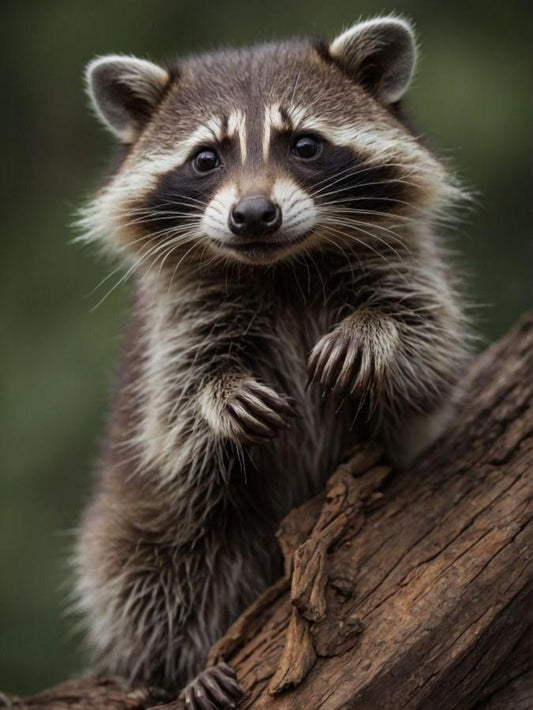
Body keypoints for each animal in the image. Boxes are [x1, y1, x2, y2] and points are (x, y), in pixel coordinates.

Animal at [76, 16, 470, 710]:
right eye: (206, 158)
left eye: (305, 145)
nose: (254, 215)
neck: (279, 265)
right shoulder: (174, 322)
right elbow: (173, 412)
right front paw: (218, 395)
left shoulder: (406, 261)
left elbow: (431, 351)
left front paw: (375, 333)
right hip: (140, 526)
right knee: (158, 583)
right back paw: (183, 667)